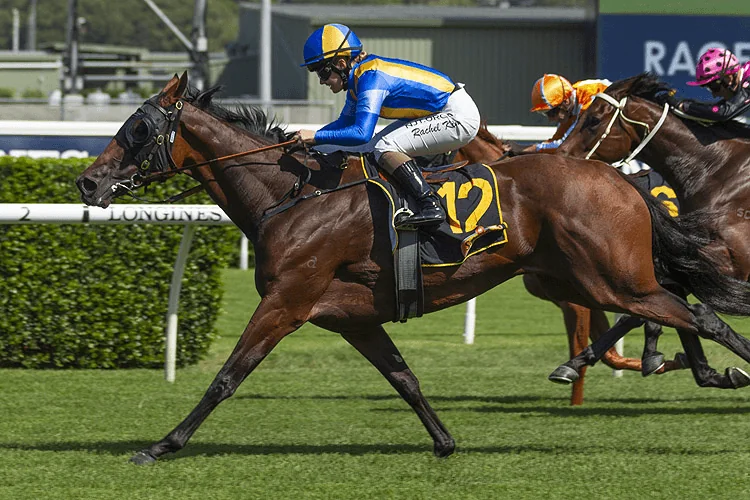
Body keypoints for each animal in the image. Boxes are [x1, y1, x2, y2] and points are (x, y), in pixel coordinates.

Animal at [554, 72, 750, 386]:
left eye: (593, 120)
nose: (560, 157)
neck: (718, 171)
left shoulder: (732, 261)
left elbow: (639, 309)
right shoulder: (692, 256)